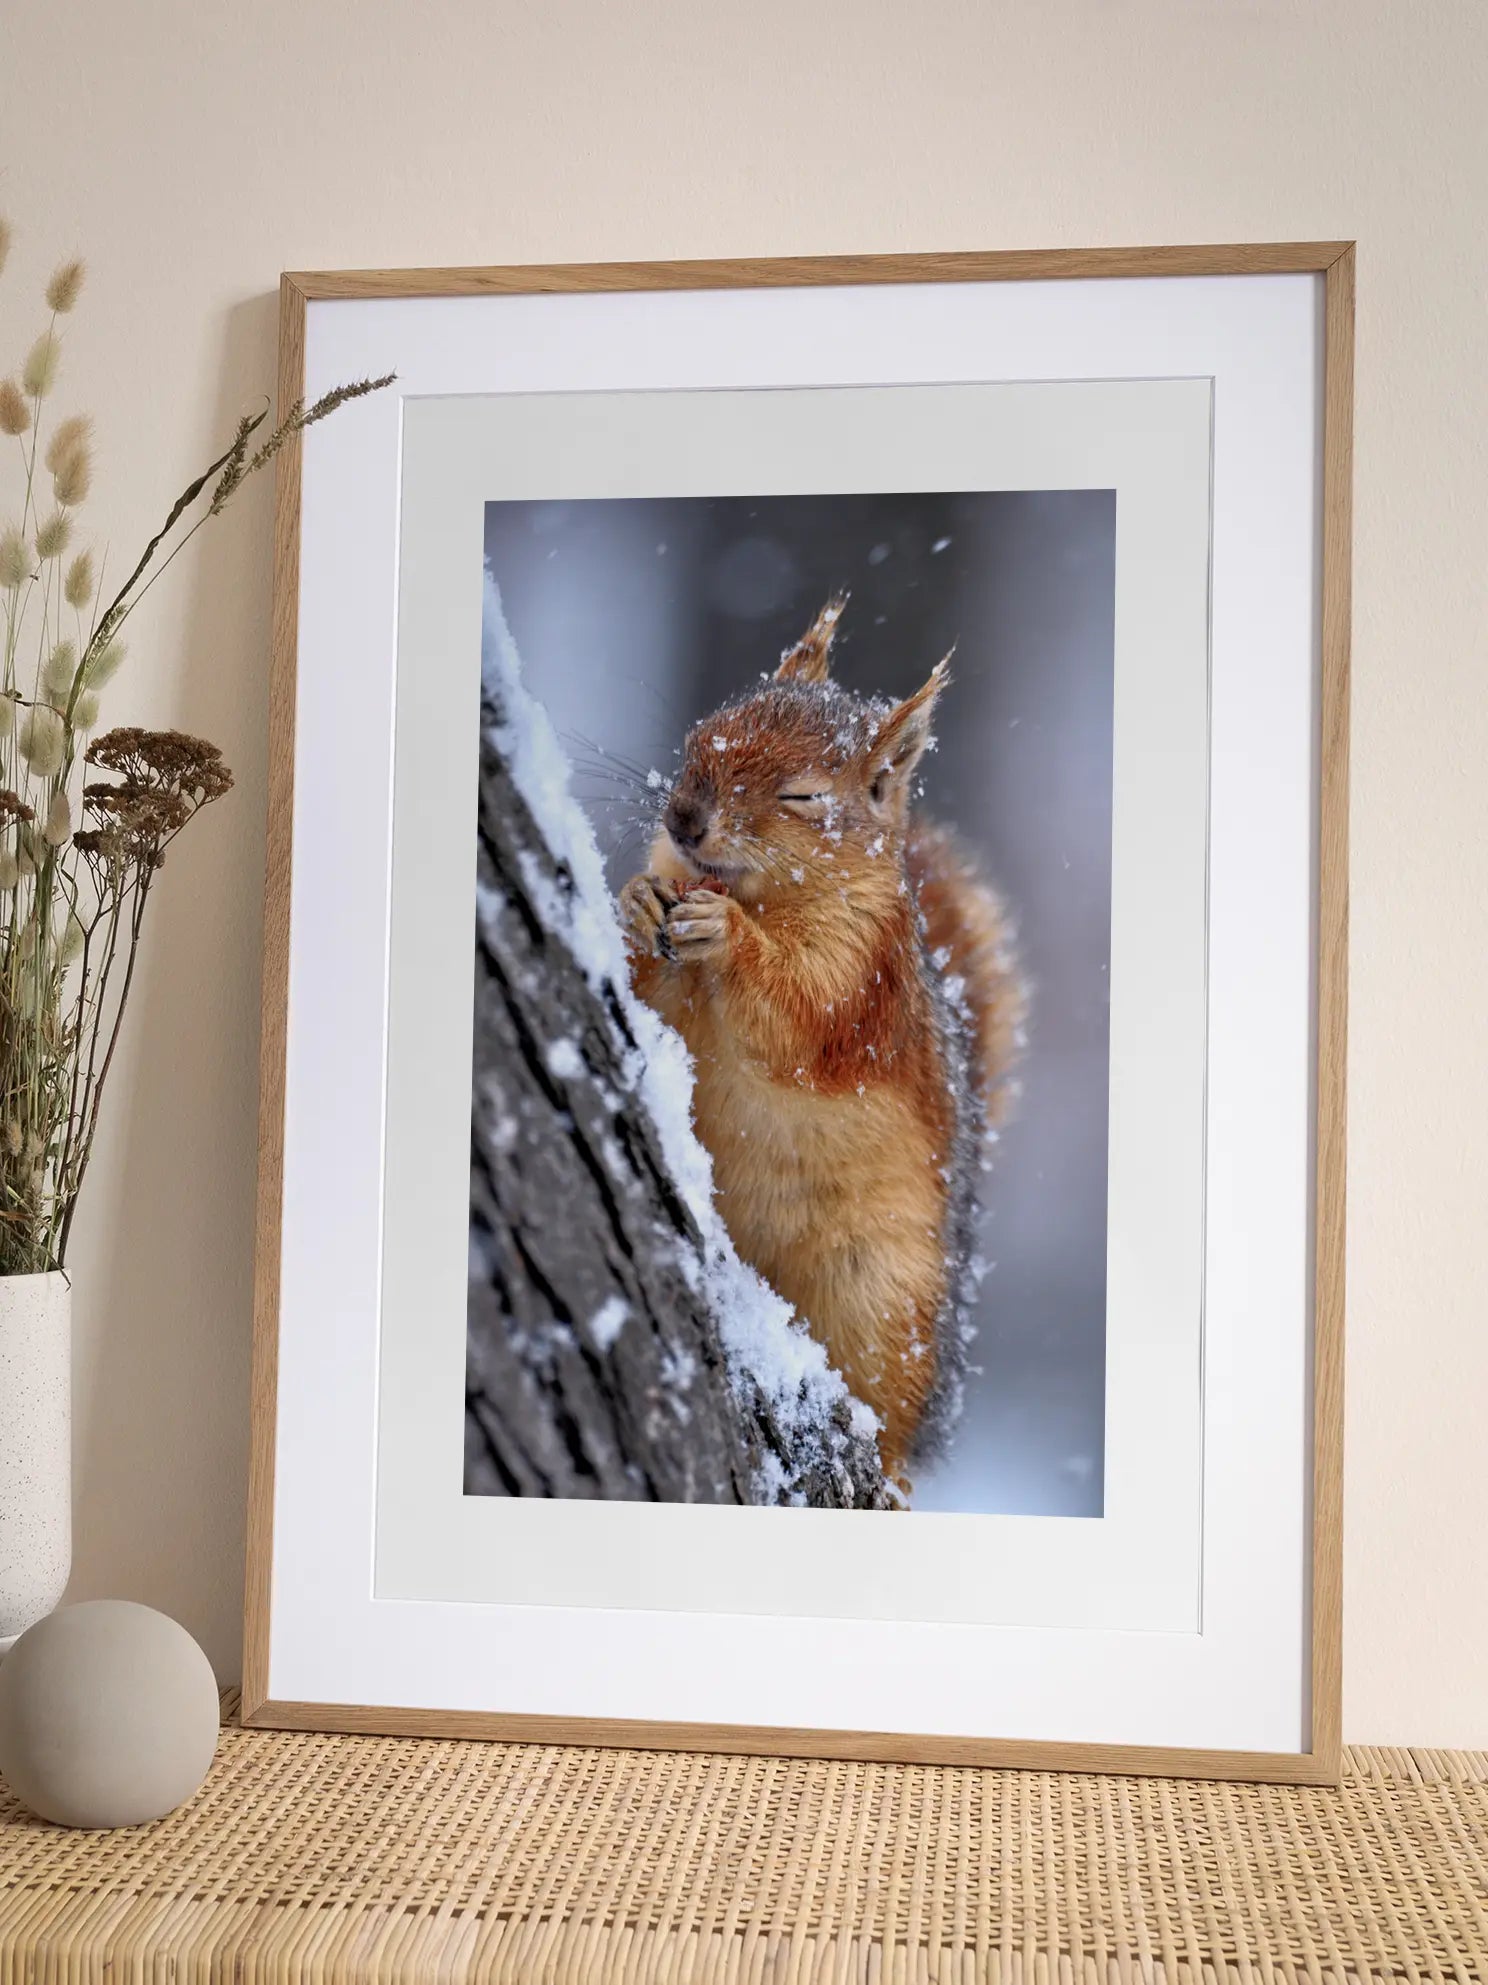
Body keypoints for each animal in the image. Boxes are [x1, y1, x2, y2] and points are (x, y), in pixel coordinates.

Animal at [620, 597, 1024, 1490]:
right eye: (707, 728)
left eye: (804, 794)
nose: (683, 819)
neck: (764, 894)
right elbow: (650, 990)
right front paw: (638, 899)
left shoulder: (860, 978)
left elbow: (797, 1014)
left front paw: (729, 938)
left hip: (879, 1296)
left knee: (890, 1420)